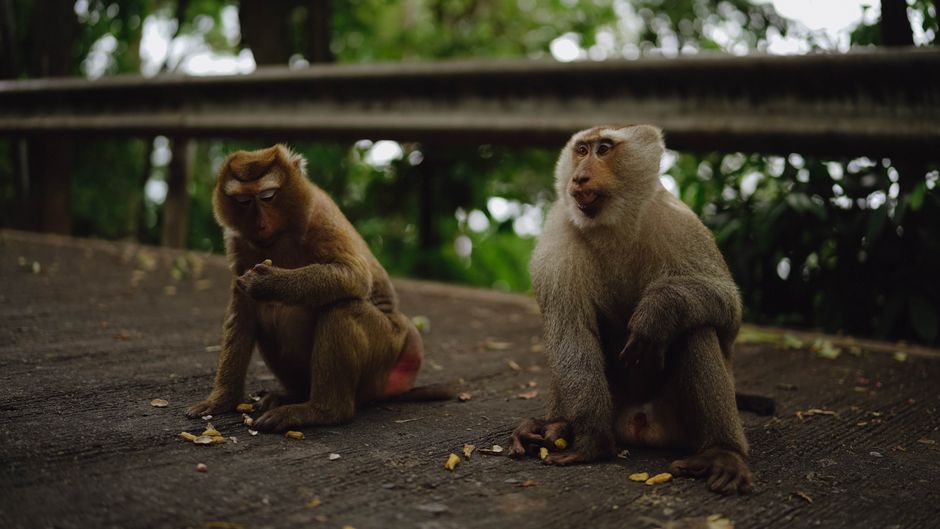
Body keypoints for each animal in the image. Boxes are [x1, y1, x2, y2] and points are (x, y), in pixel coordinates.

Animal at [186, 144, 451, 431]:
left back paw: (322, 411)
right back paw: (292, 395)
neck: (282, 234)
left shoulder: (320, 215)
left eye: (267, 196)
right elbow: (243, 310)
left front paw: (268, 282)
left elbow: (355, 276)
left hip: (386, 350)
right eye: (244, 201)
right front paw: (221, 399)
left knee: (342, 308)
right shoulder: (237, 242)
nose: (259, 224)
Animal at [507, 125, 753, 495]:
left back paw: (722, 453)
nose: (579, 177)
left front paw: (659, 311)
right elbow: (570, 328)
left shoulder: (679, 222)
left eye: (604, 149)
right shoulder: (558, 239)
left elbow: (729, 311)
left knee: (695, 329)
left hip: (677, 422)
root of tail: (639, 422)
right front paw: (592, 440)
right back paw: (558, 425)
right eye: (582, 150)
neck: (614, 224)